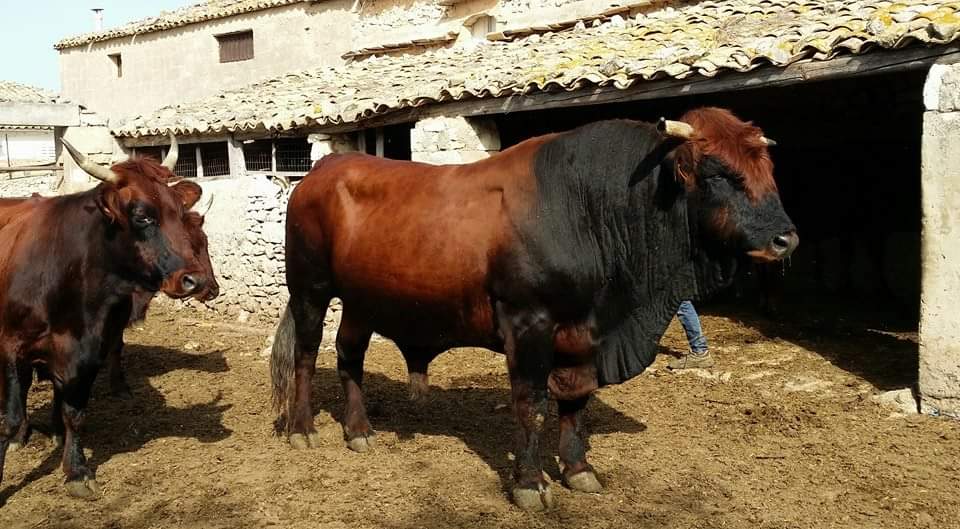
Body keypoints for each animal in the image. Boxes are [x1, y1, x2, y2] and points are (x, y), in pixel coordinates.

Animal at [0, 136, 218, 499]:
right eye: (142, 217)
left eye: (178, 211)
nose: (196, 281)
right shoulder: (10, 346)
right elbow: (10, 418)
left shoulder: (89, 349)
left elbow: (75, 412)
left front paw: (75, 469)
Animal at [270, 107, 798, 511]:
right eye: (719, 174)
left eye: (768, 171)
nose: (786, 238)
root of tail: (321, 171)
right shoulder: (528, 324)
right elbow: (532, 403)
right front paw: (529, 483)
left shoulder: (584, 333)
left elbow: (575, 400)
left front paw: (579, 469)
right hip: (310, 288)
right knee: (307, 355)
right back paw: (302, 428)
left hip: (364, 300)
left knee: (349, 355)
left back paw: (359, 430)